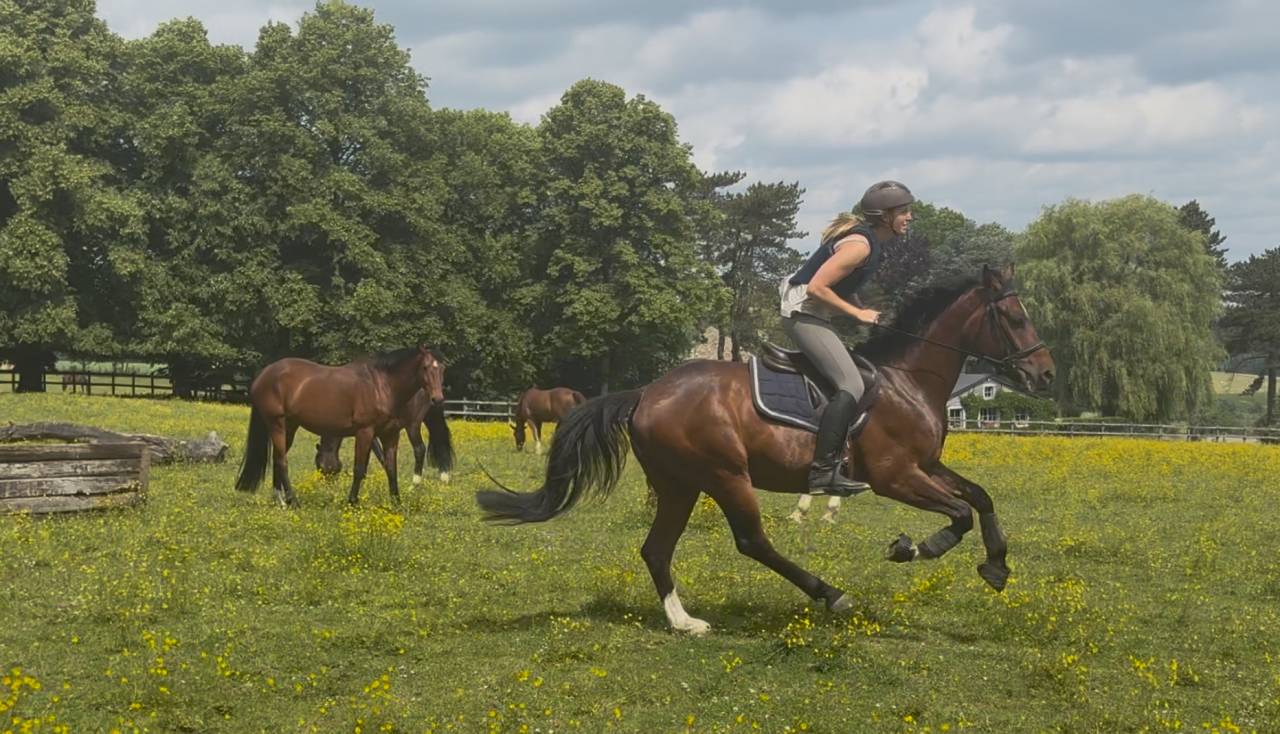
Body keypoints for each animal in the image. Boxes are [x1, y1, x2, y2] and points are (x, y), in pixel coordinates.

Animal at [314, 389, 455, 483]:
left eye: (320, 466)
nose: (327, 483)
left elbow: (378, 455)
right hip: (431, 418)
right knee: (440, 441)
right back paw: (444, 477)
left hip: (412, 425)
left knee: (419, 449)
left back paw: (415, 484)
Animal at [477, 266, 1054, 635]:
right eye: (1015, 319)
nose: (1045, 374)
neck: (906, 380)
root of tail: (645, 393)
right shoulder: (895, 476)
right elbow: (959, 514)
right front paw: (913, 548)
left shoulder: (926, 465)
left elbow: (979, 497)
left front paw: (996, 567)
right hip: (725, 475)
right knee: (752, 542)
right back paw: (831, 594)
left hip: (680, 484)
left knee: (657, 549)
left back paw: (684, 622)